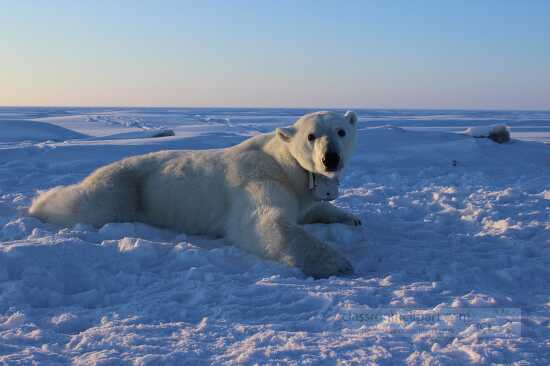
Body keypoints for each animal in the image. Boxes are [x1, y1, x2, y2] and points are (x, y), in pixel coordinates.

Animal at [30, 111, 362, 278]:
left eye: (341, 131)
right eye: (311, 136)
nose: (330, 159)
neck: (283, 163)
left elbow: (310, 209)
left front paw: (351, 218)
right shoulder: (259, 180)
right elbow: (264, 221)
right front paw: (337, 263)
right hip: (124, 188)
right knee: (86, 203)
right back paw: (39, 204)